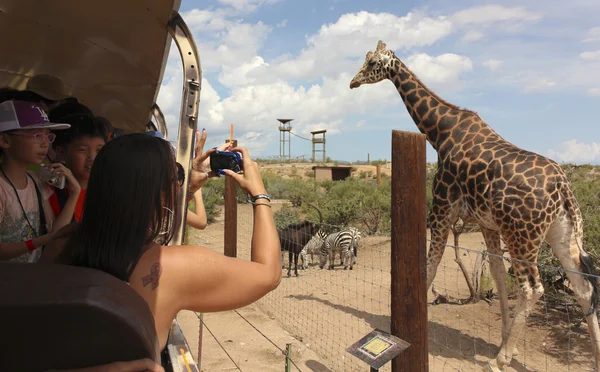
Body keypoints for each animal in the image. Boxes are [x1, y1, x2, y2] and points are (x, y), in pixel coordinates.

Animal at [350, 39, 600, 370]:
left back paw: (499, 360)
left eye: (372, 63)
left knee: (533, 288)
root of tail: (563, 188)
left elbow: (430, 266)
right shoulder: (486, 224)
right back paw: (595, 357)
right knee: (583, 288)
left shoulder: (441, 209)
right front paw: (506, 339)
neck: (439, 132)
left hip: (523, 236)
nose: (352, 82)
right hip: (563, 233)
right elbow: (496, 273)